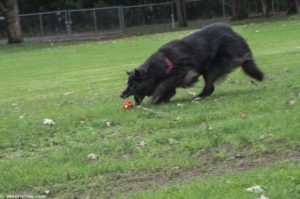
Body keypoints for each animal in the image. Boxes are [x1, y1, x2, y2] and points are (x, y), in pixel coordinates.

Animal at [119, 22, 262, 105]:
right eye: (128, 83)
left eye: (132, 84)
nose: (121, 94)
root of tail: (233, 32)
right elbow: (169, 89)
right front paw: (163, 98)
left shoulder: (184, 72)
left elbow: (163, 85)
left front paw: (156, 97)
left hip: (212, 66)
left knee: (209, 87)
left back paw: (198, 97)